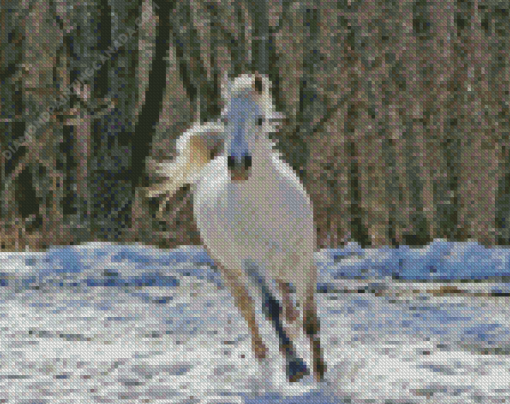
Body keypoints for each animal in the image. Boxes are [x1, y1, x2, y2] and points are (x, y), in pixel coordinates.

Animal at [149, 73, 326, 386]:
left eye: (260, 119)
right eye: (224, 117)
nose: (239, 165)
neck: (267, 206)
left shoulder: (304, 259)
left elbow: (310, 316)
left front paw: (319, 369)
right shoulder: (250, 263)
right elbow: (268, 307)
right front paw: (294, 365)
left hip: (279, 262)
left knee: (285, 294)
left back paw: (292, 323)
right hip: (227, 267)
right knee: (247, 307)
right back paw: (261, 352)